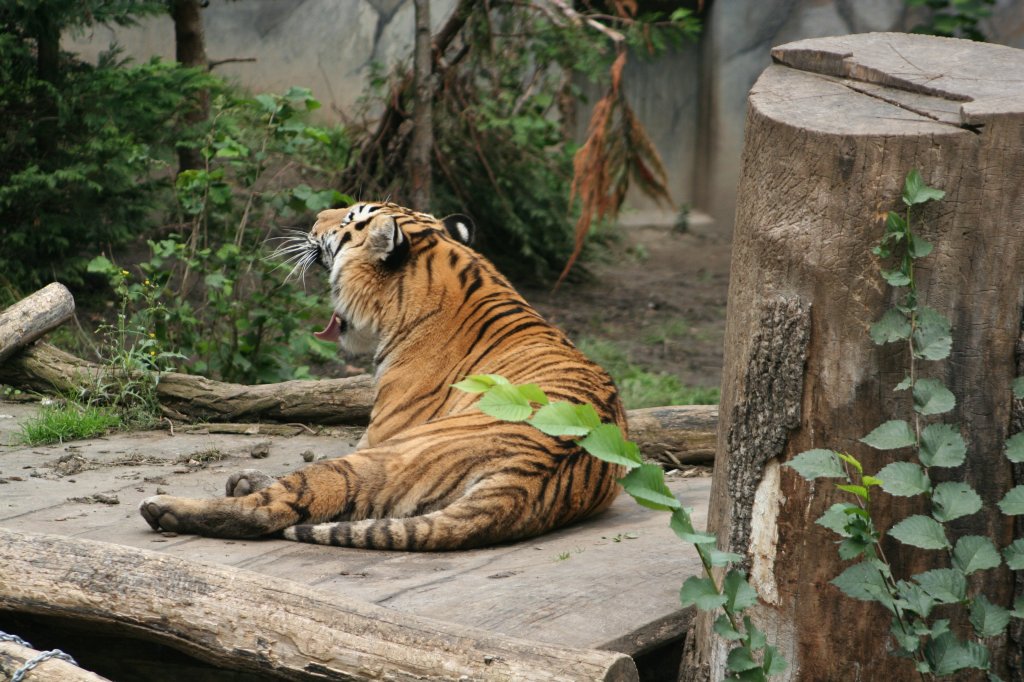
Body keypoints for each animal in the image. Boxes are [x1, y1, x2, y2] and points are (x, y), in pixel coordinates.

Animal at [140, 200, 626, 548]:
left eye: (349, 218)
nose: (313, 218)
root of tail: (528, 476)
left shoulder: (376, 435)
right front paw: (245, 478)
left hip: (386, 457)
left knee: (282, 505)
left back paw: (164, 508)